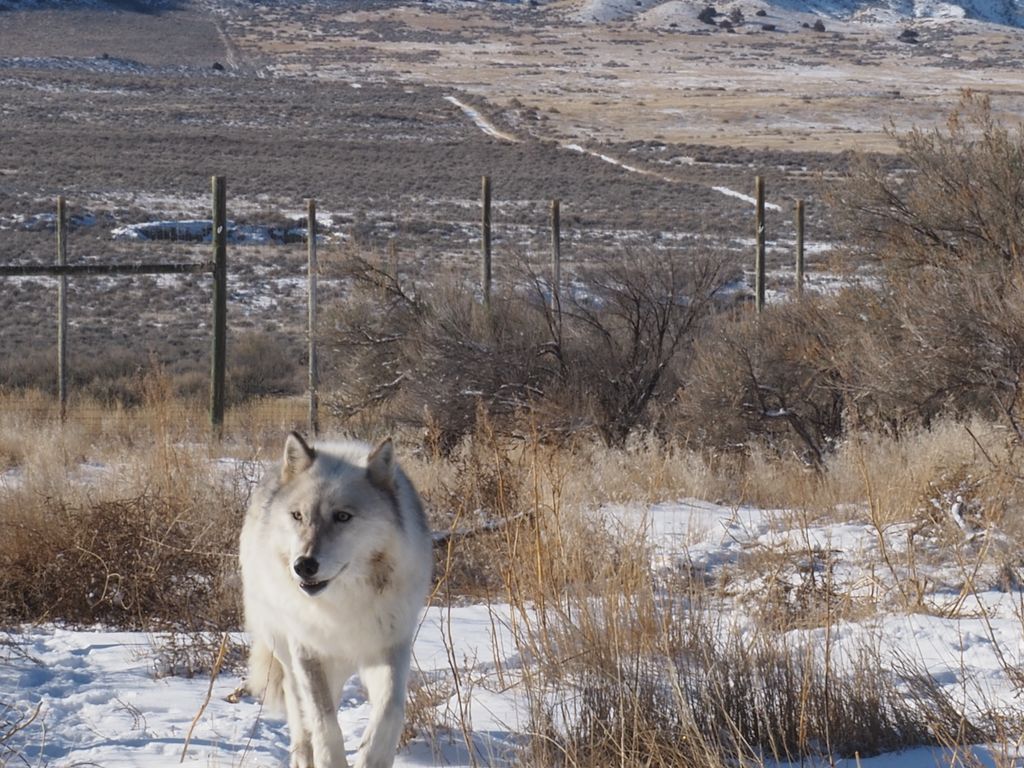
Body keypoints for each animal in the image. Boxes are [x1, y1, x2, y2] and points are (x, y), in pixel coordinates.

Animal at [239, 432, 433, 768]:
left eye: (343, 516)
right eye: (298, 516)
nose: (303, 565)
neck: (342, 605)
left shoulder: (390, 647)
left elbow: (390, 710)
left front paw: (373, 758)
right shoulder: (307, 653)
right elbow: (323, 721)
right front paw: (331, 760)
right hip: (287, 653)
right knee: (297, 706)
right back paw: (303, 757)